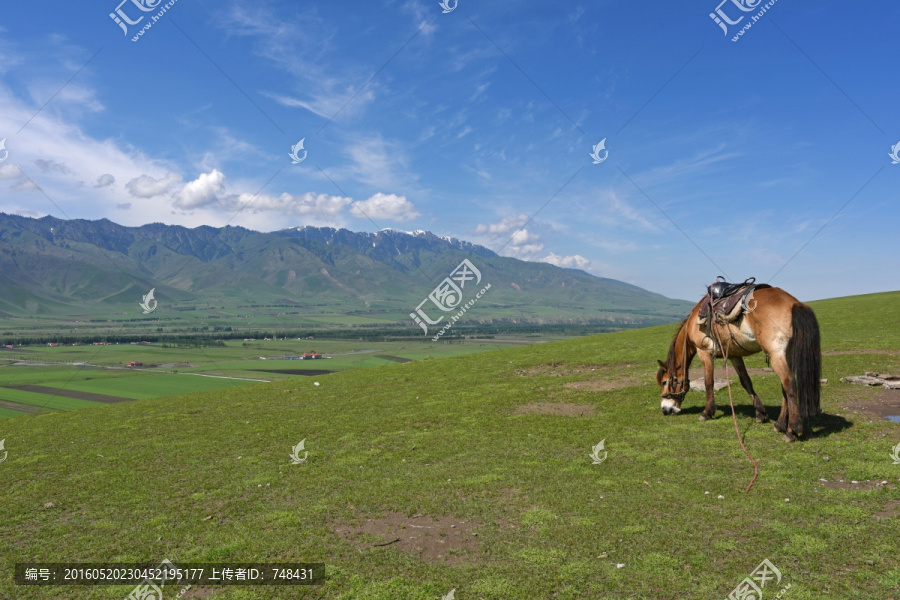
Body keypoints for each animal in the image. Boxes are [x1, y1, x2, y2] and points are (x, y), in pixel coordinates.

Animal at [656, 284, 820, 442]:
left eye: (664, 382)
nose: (665, 409)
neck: (693, 323)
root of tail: (794, 303)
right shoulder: (734, 355)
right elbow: (746, 382)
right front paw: (760, 414)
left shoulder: (704, 352)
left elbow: (709, 382)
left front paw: (707, 412)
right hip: (787, 353)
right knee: (784, 386)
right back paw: (779, 424)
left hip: (776, 354)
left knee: (789, 383)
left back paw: (792, 430)